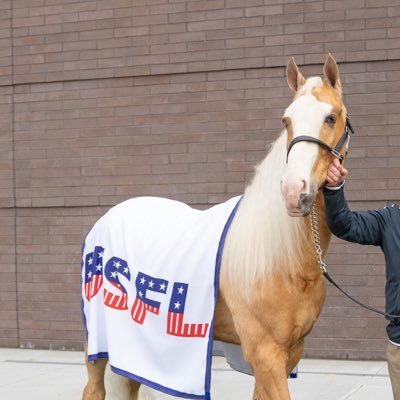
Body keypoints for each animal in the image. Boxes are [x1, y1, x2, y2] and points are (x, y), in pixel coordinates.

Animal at [82, 54, 350, 400]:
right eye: (286, 120)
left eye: (331, 117)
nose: (294, 191)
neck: (282, 261)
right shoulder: (265, 354)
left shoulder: (288, 353)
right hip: (98, 344)